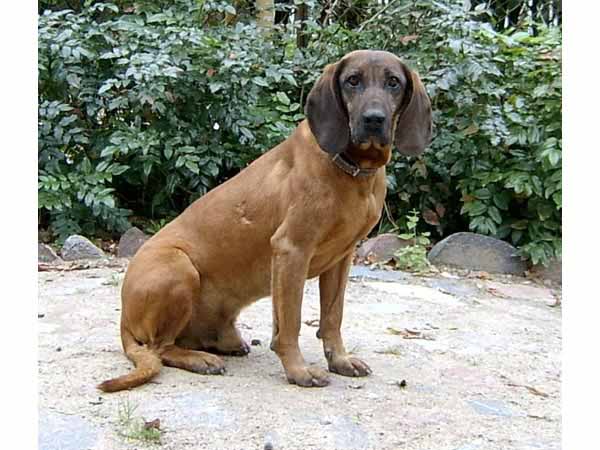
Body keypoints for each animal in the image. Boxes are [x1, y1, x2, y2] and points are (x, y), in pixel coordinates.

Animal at [101, 51, 434, 392]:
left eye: (393, 82)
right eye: (352, 80)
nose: (374, 119)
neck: (352, 170)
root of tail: (124, 320)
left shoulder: (341, 258)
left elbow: (332, 317)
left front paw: (340, 359)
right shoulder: (292, 250)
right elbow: (290, 324)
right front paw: (298, 370)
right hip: (179, 267)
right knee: (161, 348)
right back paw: (199, 359)